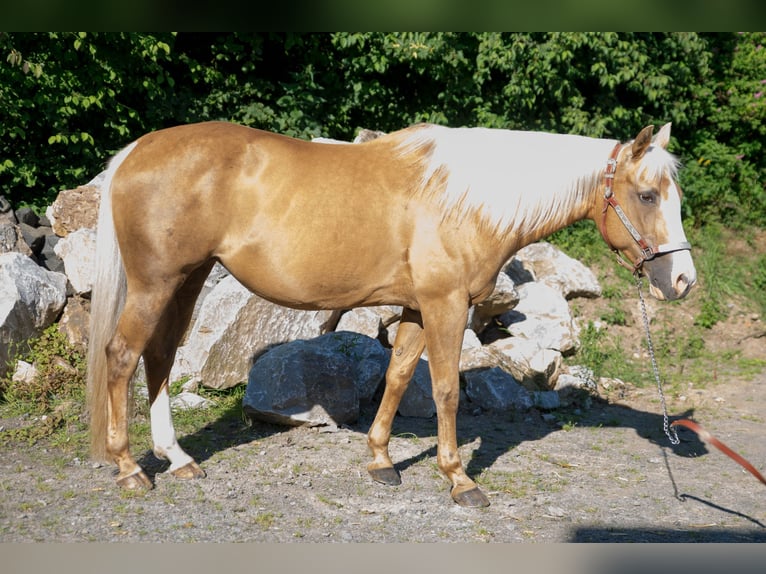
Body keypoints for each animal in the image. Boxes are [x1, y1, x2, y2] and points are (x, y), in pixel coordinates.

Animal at [87, 121, 700, 508]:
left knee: (159, 358)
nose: (683, 281)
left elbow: (400, 375)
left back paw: (177, 457)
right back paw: (130, 469)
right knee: (122, 356)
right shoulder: (447, 304)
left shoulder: (416, 306)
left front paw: (381, 460)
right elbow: (447, 389)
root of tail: (137, 151)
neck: (468, 200)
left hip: (185, 280)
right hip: (156, 284)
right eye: (647, 195)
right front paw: (459, 481)